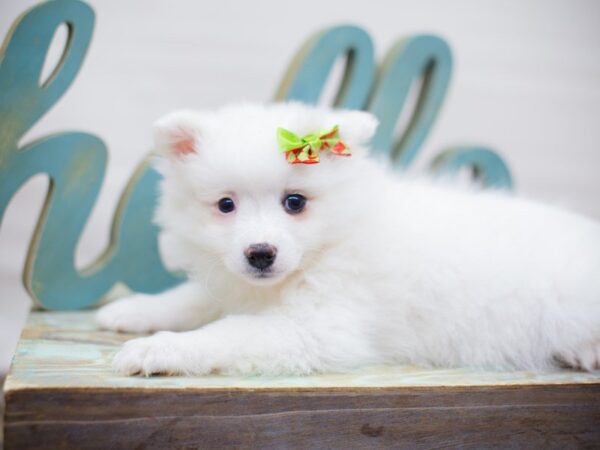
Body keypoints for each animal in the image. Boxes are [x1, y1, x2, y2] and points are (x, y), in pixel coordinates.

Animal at [96, 103, 600, 376]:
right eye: (225, 205)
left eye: (295, 202)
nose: (260, 254)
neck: (329, 245)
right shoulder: (233, 280)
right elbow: (193, 297)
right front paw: (134, 310)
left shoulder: (318, 327)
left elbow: (228, 332)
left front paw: (160, 348)